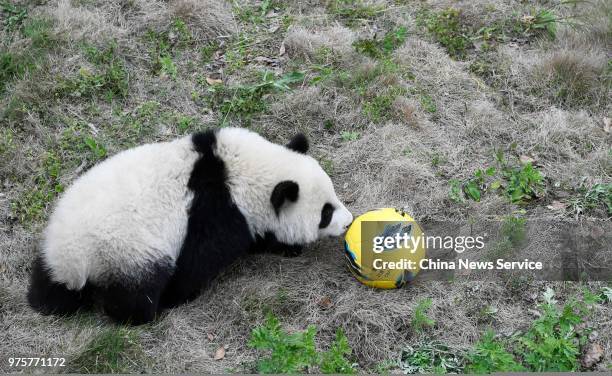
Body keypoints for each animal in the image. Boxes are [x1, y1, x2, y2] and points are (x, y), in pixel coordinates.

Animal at [27, 129, 354, 324]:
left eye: (333, 197)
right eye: (325, 213)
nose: (348, 221)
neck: (238, 172)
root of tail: (74, 260)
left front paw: (285, 246)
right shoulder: (215, 212)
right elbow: (200, 261)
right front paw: (178, 297)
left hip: (55, 241)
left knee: (49, 288)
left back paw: (47, 301)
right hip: (127, 251)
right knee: (136, 292)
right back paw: (142, 313)